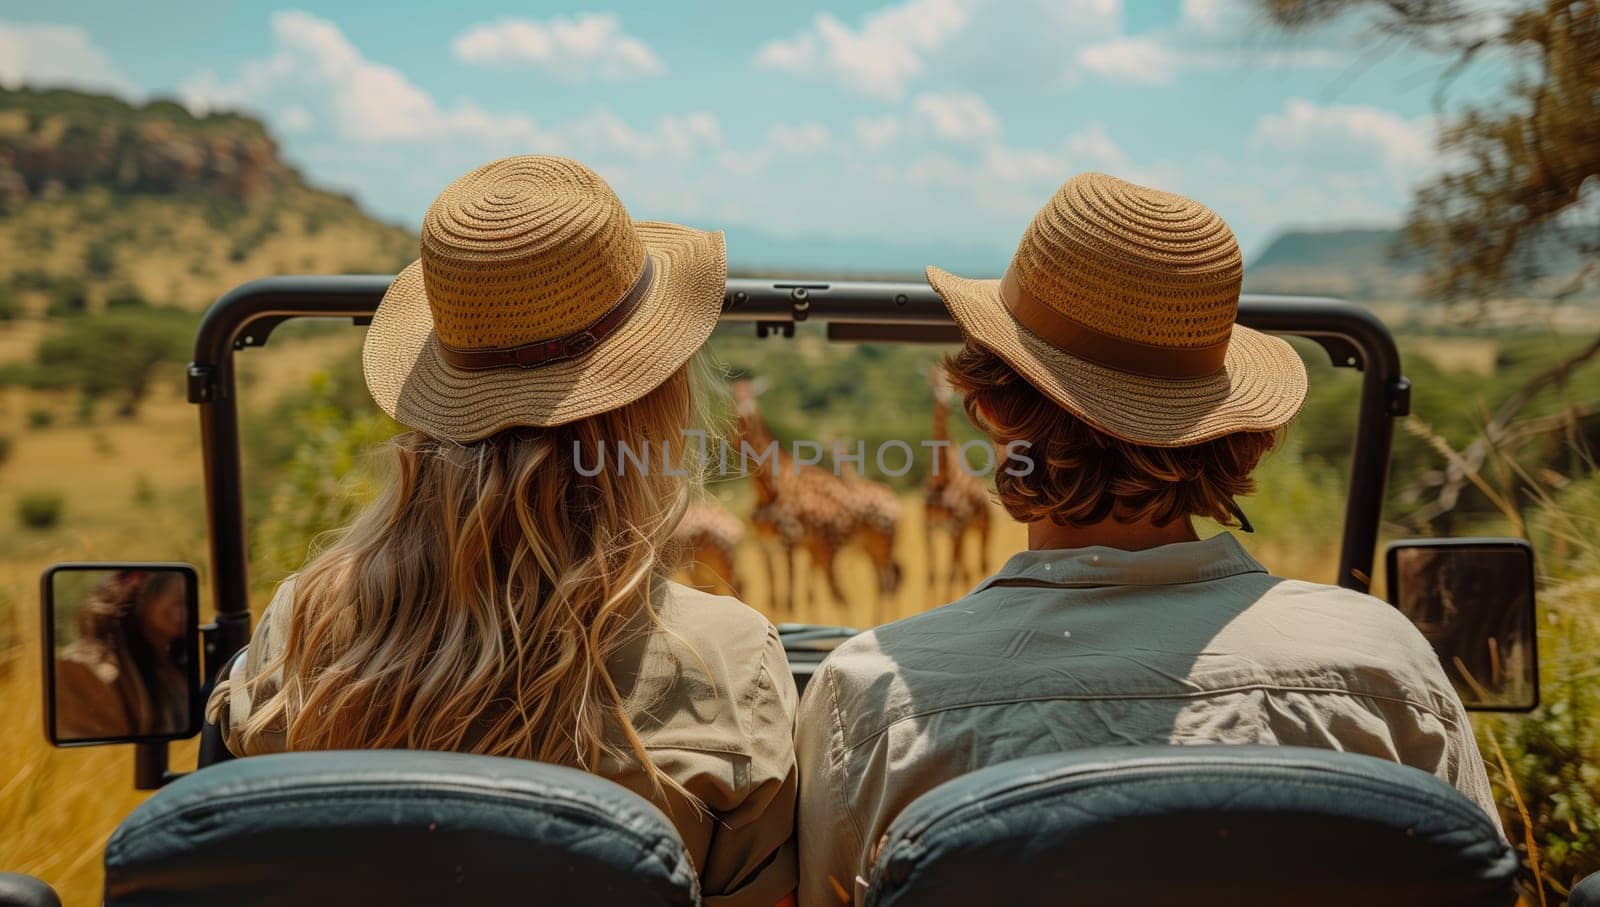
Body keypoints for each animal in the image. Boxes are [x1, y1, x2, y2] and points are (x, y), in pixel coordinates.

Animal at [921, 366, 992, 607]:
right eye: (933, 382)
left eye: (949, 382)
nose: (944, 401)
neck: (941, 479)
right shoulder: (929, 525)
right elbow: (932, 574)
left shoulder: (955, 524)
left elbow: (949, 574)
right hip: (964, 531)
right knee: (965, 569)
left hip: (983, 527)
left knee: (981, 566)